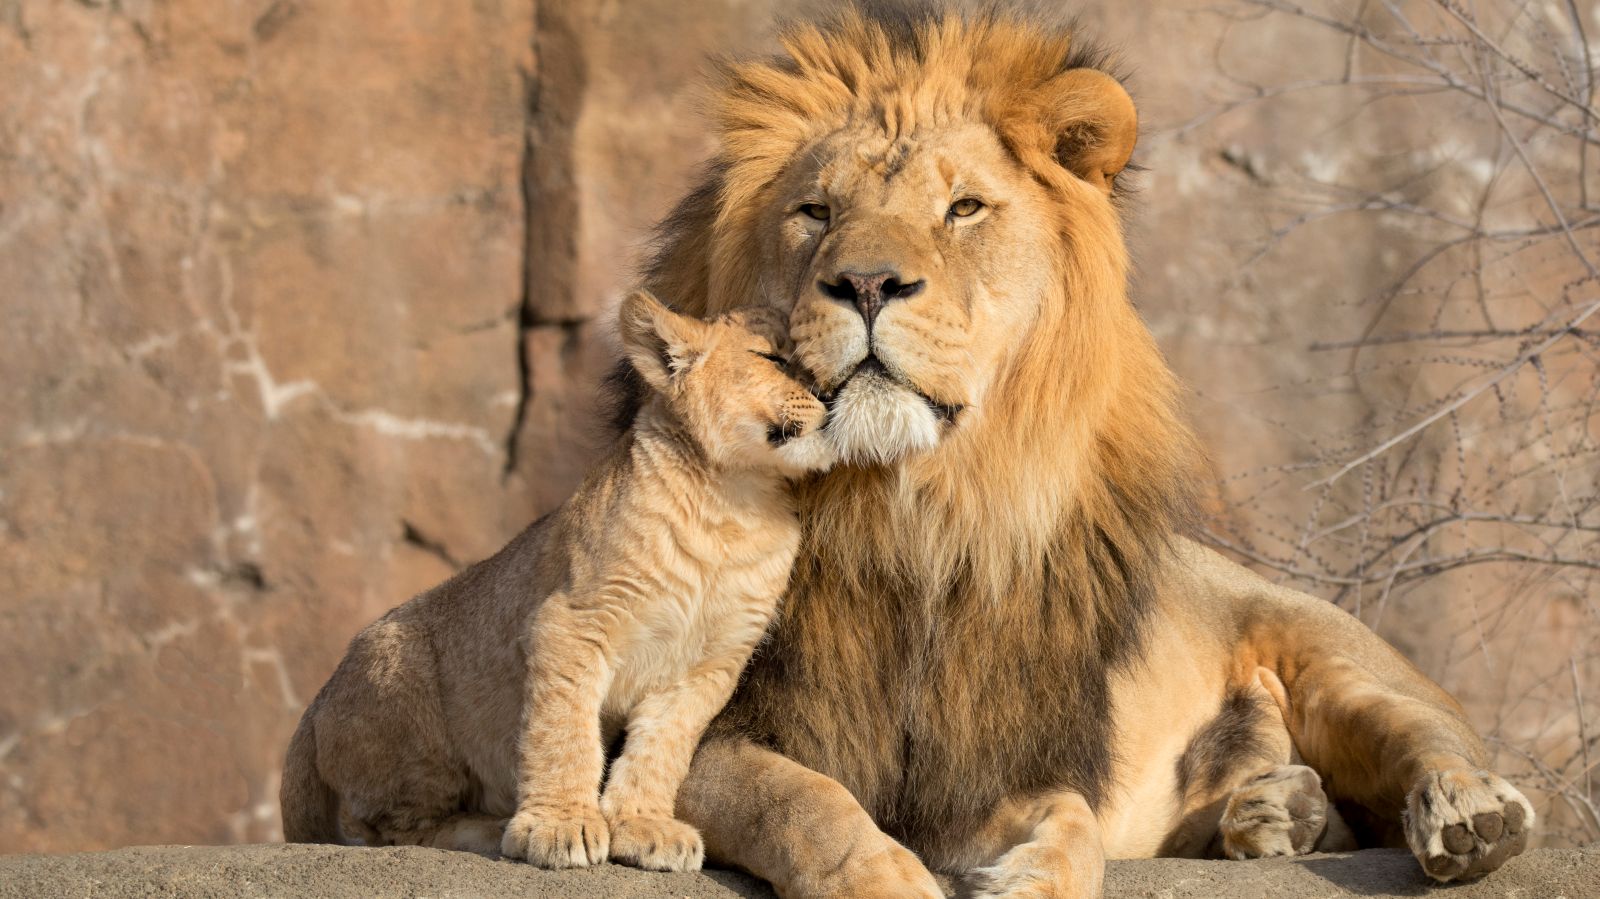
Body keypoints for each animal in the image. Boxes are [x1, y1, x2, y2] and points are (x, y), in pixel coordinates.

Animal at [643, 6, 1529, 895]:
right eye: (816, 211)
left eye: (964, 208)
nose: (865, 283)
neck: (910, 511)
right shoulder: (699, 726)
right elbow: (803, 800)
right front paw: (883, 876)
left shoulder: (992, 759)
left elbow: (1072, 819)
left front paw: (1039, 878)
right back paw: (1274, 811)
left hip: (1334, 658)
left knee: (1432, 741)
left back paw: (1467, 813)